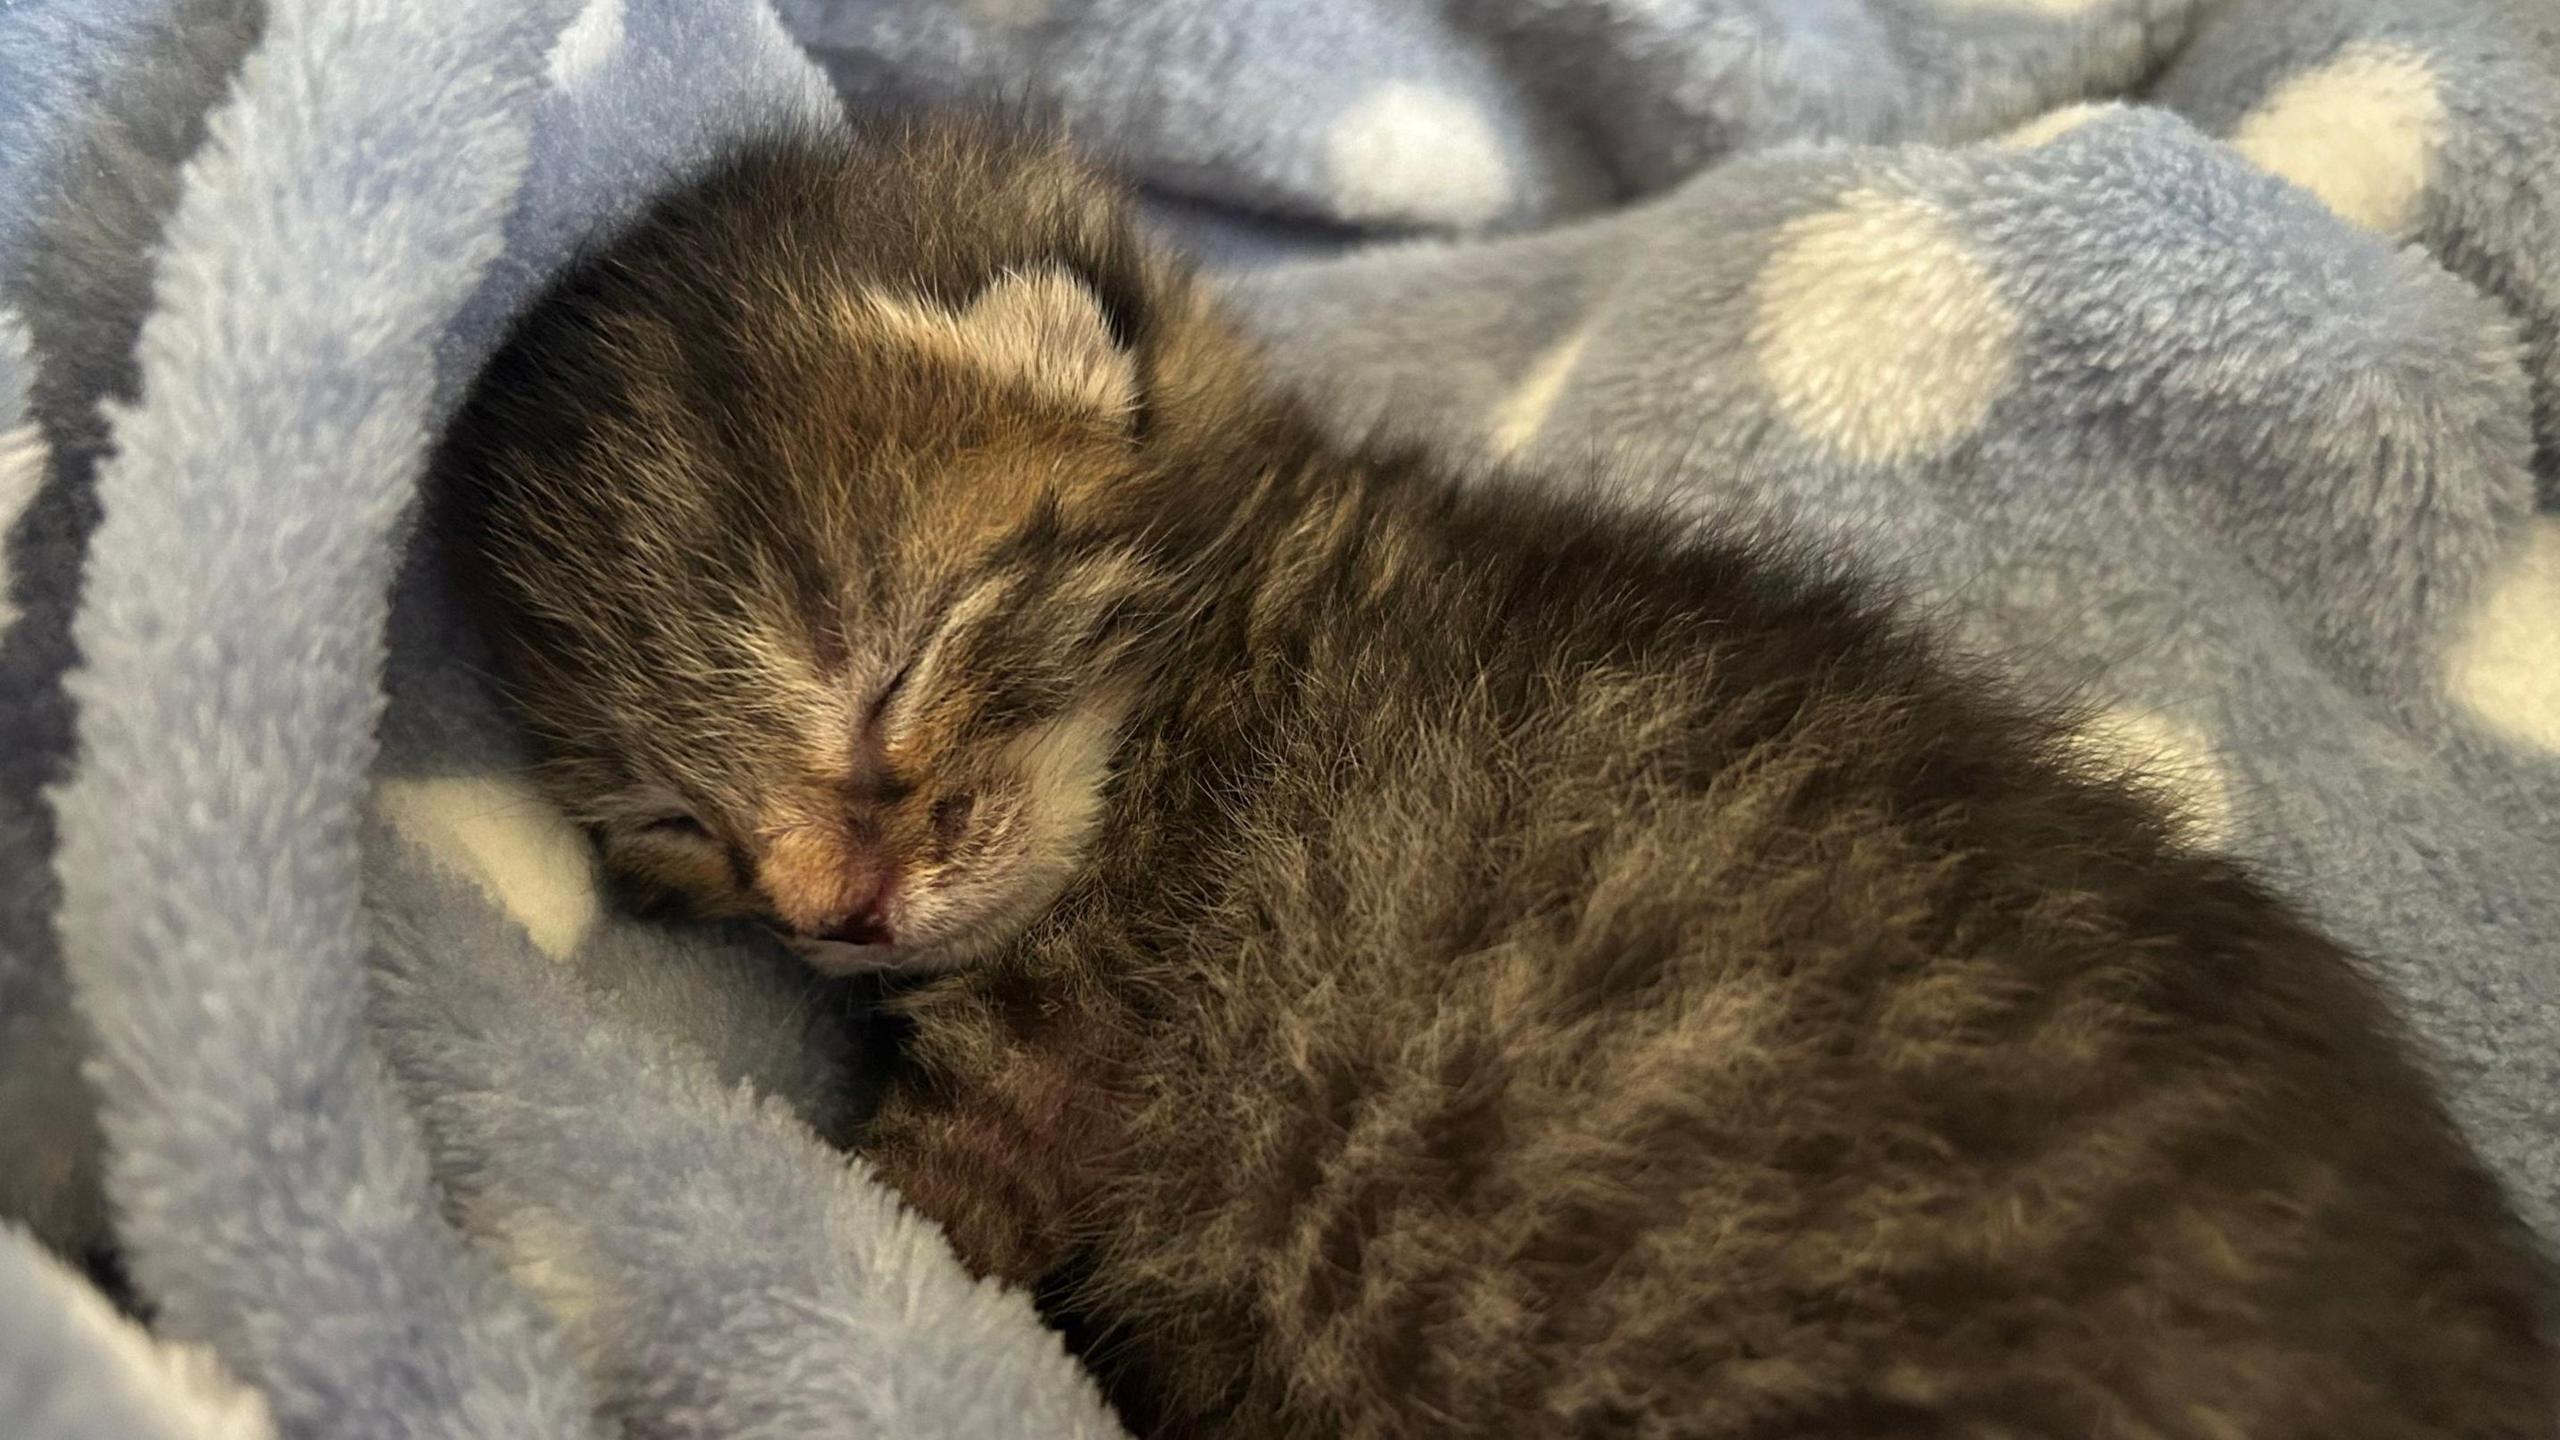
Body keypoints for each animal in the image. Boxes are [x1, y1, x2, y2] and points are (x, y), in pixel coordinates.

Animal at [430, 114, 2549, 1434]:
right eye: (676, 832)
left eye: (886, 673)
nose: (837, 910)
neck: (1222, 646)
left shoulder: (1051, 1080)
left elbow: (901, 1222)